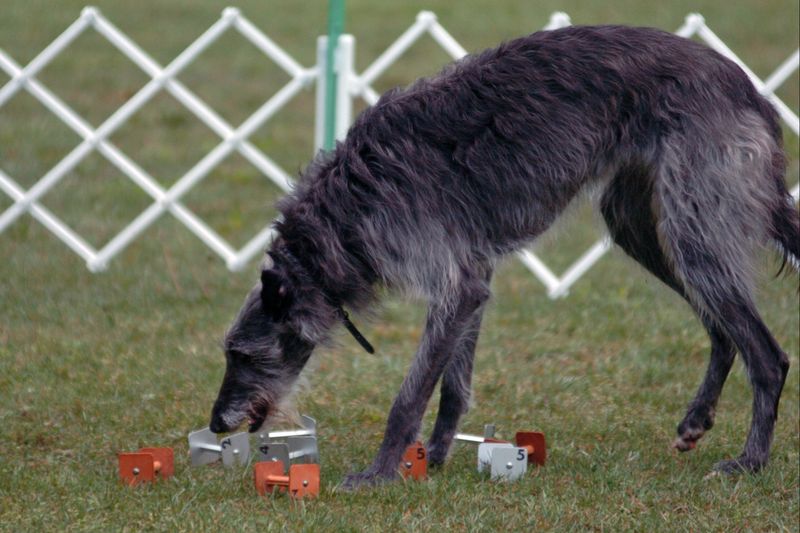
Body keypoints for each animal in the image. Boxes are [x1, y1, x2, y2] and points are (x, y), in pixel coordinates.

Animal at [208, 27, 800, 488]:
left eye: (242, 354)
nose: (215, 424)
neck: (347, 209)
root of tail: (746, 87)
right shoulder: (472, 279)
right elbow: (452, 384)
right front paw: (434, 457)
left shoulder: (456, 282)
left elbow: (409, 395)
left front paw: (378, 473)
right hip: (644, 229)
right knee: (723, 327)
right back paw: (698, 419)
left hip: (693, 226)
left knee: (767, 354)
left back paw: (750, 461)